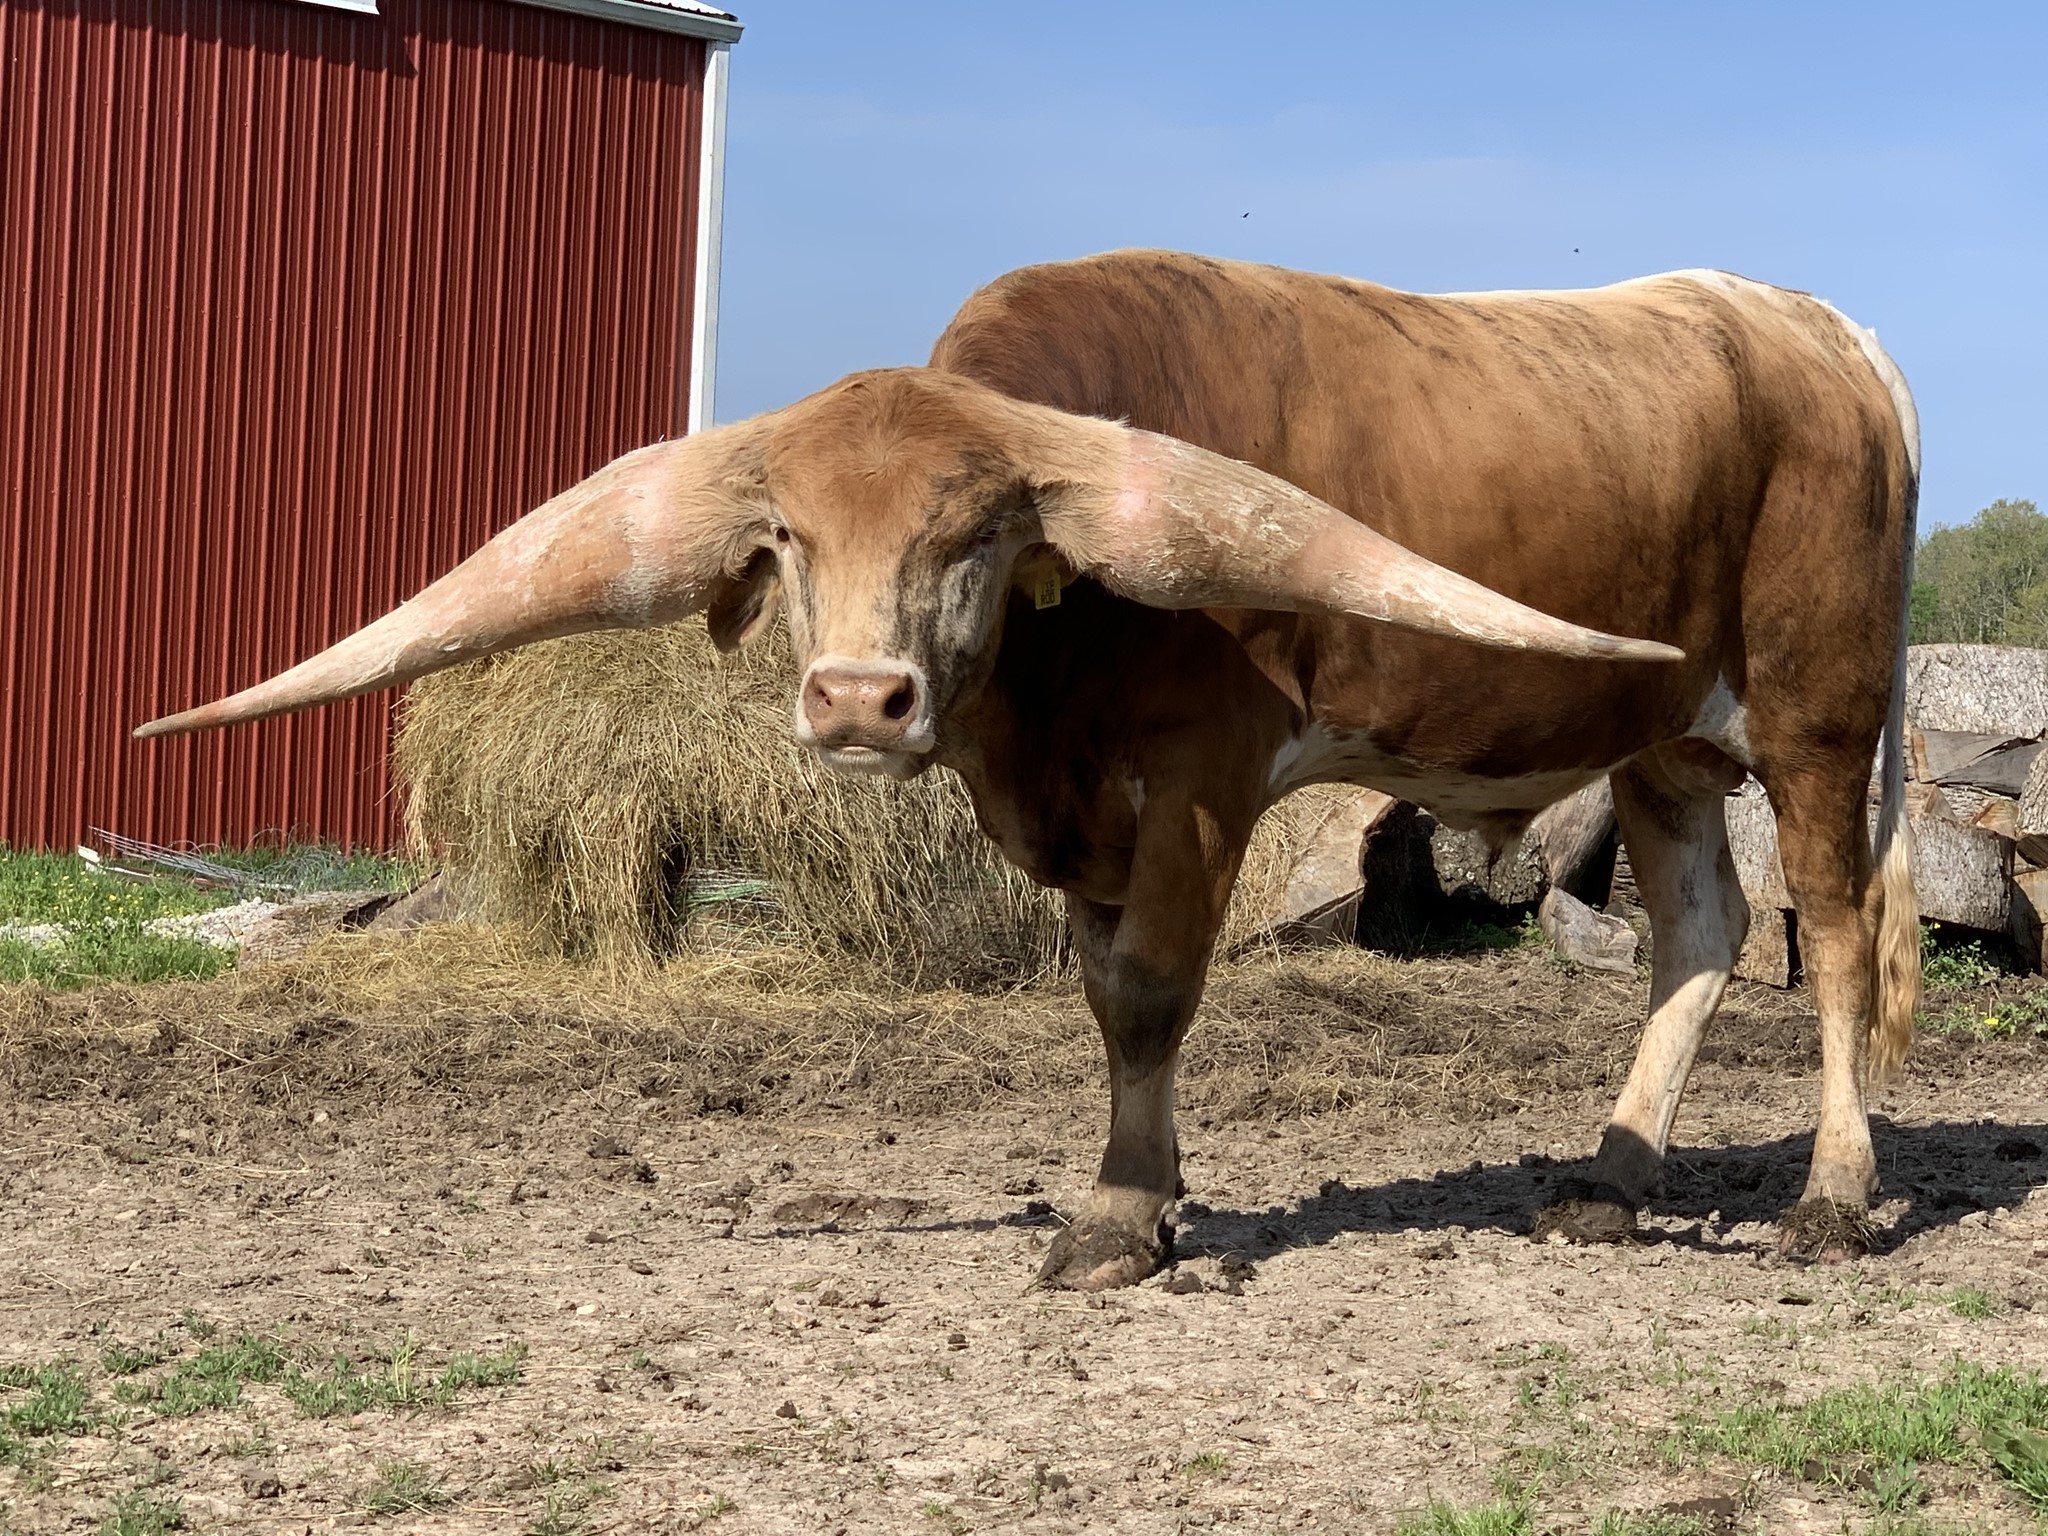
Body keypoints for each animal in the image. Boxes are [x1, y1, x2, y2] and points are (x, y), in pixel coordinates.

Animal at [138, 251, 1920, 1289]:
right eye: (789, 541)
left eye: (976, 533)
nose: (860, 701)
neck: (1044, 699)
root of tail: (1823, 332)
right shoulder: (1076, 827)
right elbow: (1101, 995)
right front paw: (1159, 1189)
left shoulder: (1198, 784)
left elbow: (1148, 994)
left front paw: (1120, 1218)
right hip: (1665, 736)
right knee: (1697, 934)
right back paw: (1611, 1180)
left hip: (1819, 709)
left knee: (1832, 936)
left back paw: (1833, 1200)